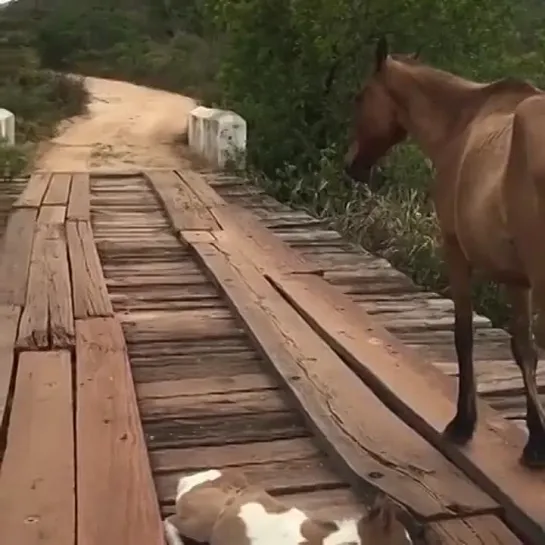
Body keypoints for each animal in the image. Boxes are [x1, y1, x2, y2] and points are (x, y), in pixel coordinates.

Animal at [344, 36, 544, 466]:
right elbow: (525, 349)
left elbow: (463, 334)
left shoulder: (454, 250)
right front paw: (536, 440)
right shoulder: (518, 279)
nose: (352, 165)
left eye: (360, 96)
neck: (460, 123)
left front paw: (462, 424)